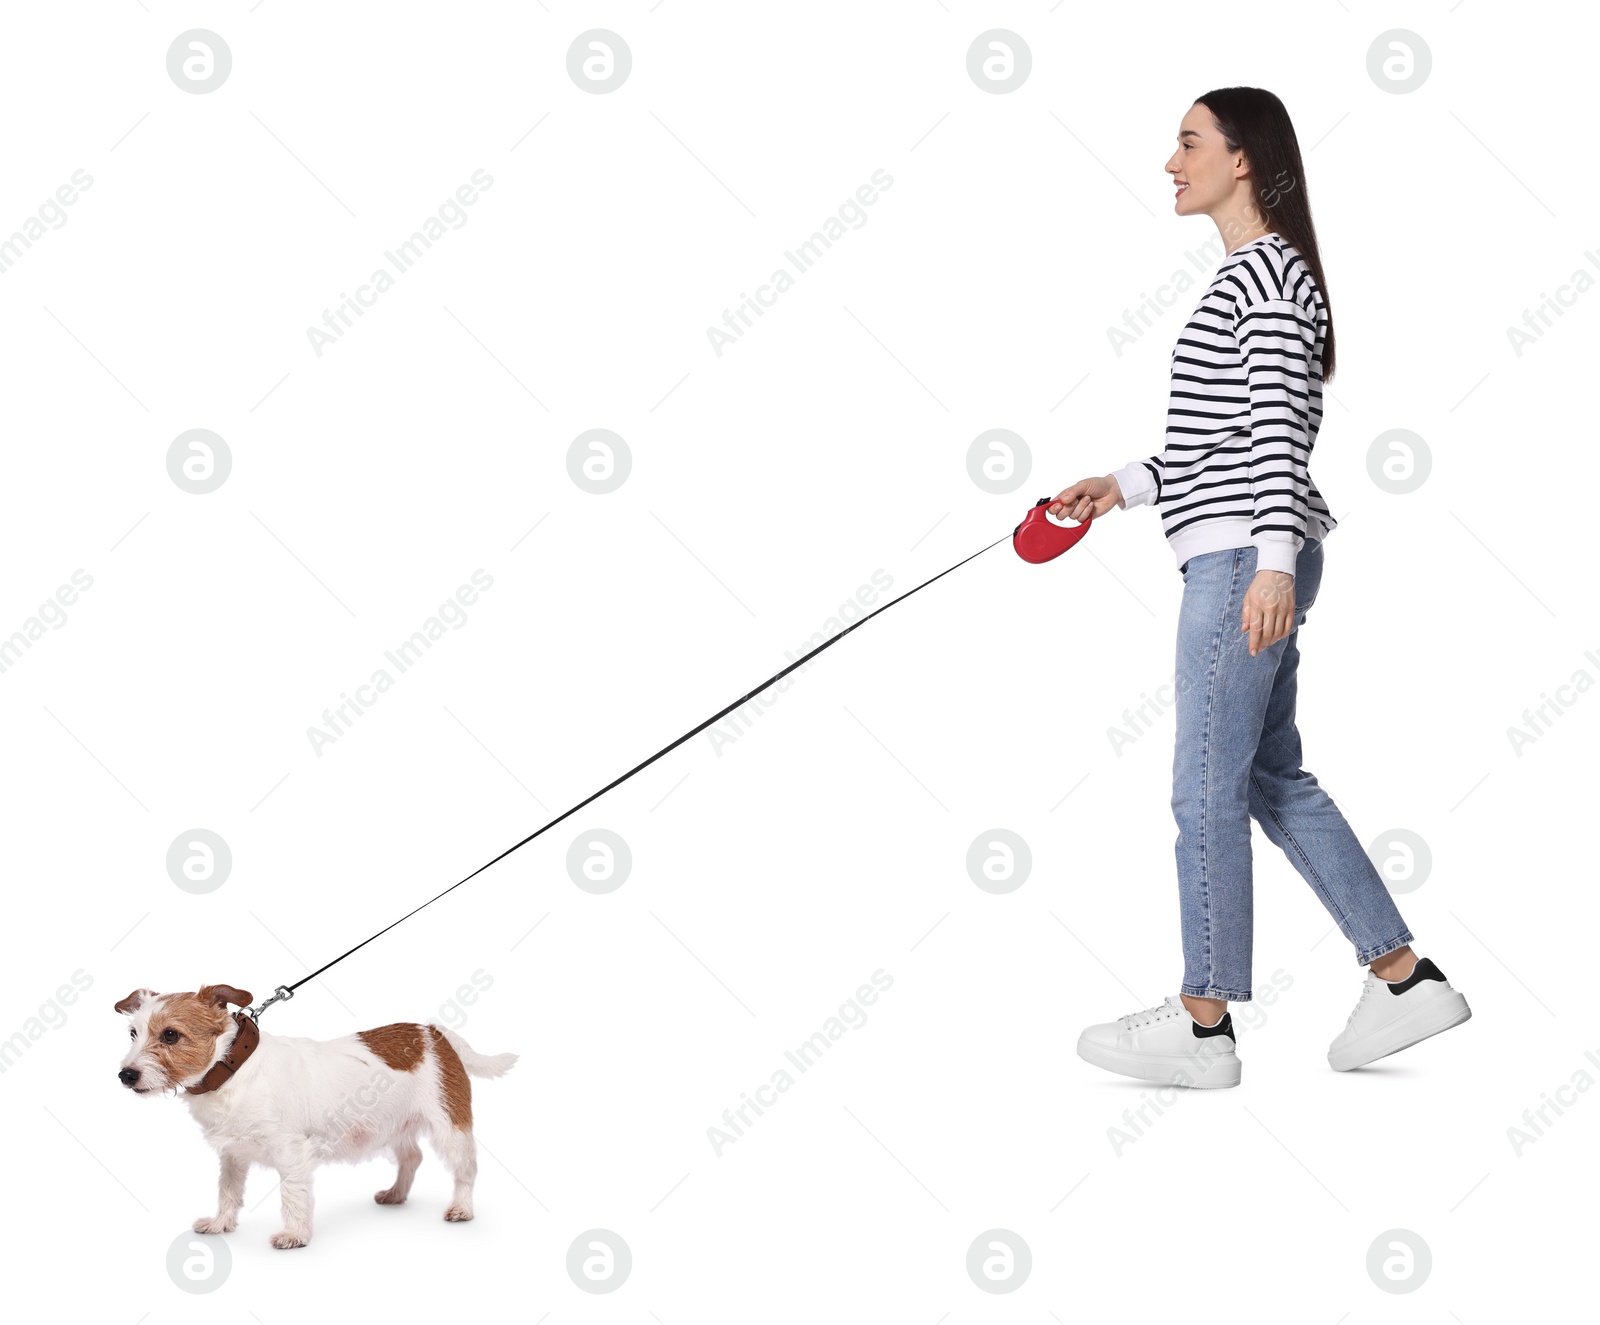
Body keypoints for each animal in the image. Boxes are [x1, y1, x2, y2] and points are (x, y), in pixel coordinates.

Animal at [118, 985, 518, 1254]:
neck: (233, 1069)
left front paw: (294, 1236)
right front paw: (221, 1224)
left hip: (449, 1126)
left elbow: (292, 1197)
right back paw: (396, 1194)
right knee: (412, 1157)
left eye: (171, 1035)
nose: (125, 1075)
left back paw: (462, 1208)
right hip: (394, 1125)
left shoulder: (292, 1153)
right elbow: (228, 1192)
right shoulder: (233, 1155)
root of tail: (433, 1032)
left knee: (466, 1169)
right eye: (134, 1033)